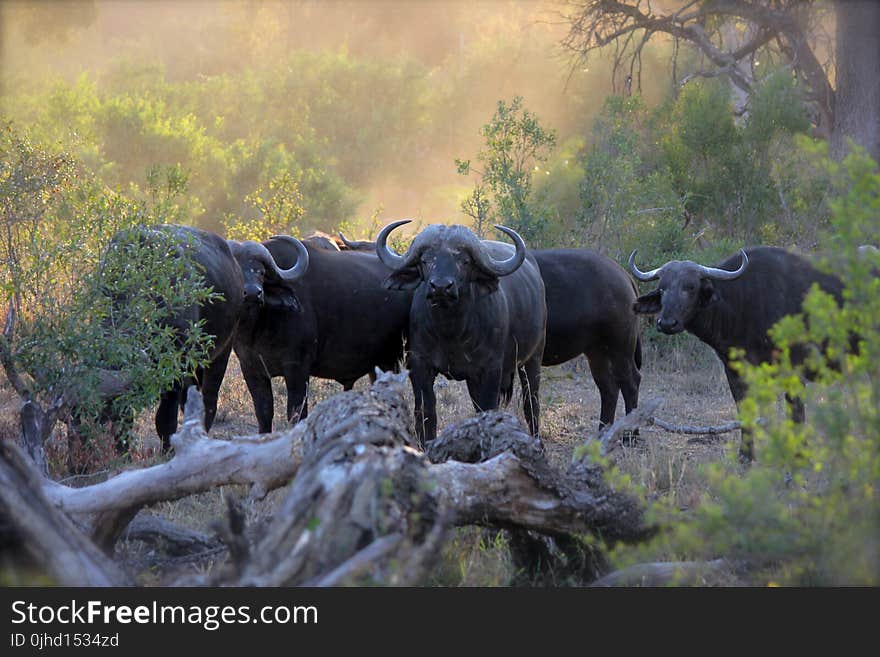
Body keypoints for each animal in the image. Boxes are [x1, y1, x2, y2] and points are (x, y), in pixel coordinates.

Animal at [234, 234, 412, 430]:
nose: (253, 293)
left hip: (392, 360)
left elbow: (296, 414)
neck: (259, 329)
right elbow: (264, 413)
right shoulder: (251, 369)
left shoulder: (297, 369)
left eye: (260, 272)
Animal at [376, 222, 548, 446]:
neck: (451, 331)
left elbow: (487, 409)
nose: (441, 287)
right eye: (425, 260)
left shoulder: (491, 369)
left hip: (533, 357)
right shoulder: (420, 365)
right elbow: (426, 413)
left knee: (531, 404)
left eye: (464, 261)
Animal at [532, 249, 644, 428]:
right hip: (597, 352)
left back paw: (630, 431)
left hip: (620, 349)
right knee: (609, 388)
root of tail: (623, 274)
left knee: (631, 383)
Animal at [628, 245, 844, 456]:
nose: (666, 323)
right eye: (662, 288)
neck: (743, 301)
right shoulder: (733, 370)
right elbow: (744, 410)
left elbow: (796, 412)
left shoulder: (794, 370)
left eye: (690, 287)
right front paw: (746, 455)